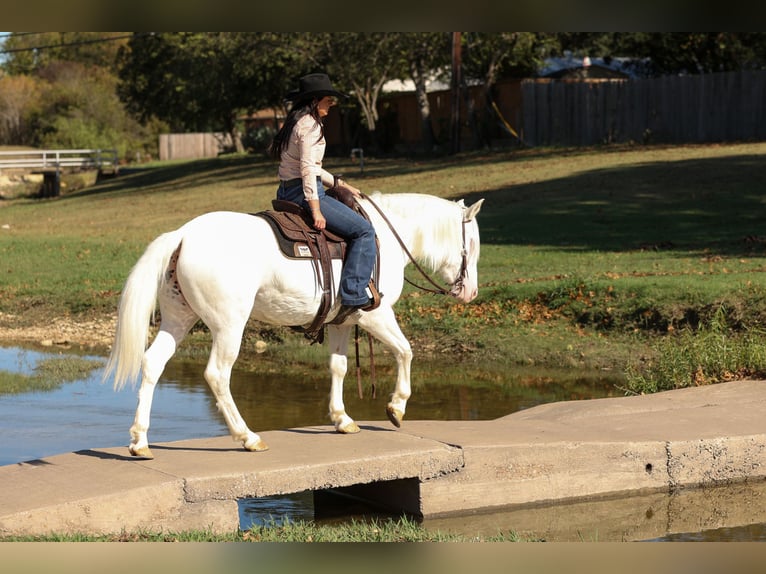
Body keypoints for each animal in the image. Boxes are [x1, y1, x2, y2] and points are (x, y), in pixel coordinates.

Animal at [103, 192, 486, 460]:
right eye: (471, 244)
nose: (470, 292)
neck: (384, 240)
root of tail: (183, 235)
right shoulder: (376, 315)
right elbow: (405, 351)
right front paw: (397, 407)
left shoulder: (342, 321)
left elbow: (338, 367)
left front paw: (341, 418)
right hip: (229, 325)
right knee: (217, 375)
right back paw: (248, 437)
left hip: (178, 318)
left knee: (153, 363)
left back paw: (139, 441)